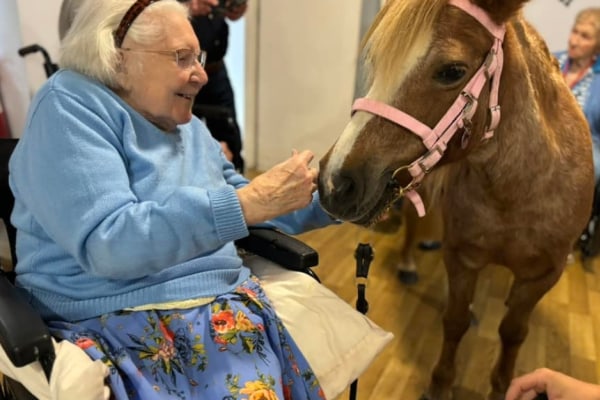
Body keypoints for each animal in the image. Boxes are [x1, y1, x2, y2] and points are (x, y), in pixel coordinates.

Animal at [316, 0, 592, 400]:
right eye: (378, 62)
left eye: (452, 71)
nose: (334, 183)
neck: (517, 190)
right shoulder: (463, 256)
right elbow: (455, 321)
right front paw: (440, 384)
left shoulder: (542, 275)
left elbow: (513, 332)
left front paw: (502, 385)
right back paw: (409, 264)